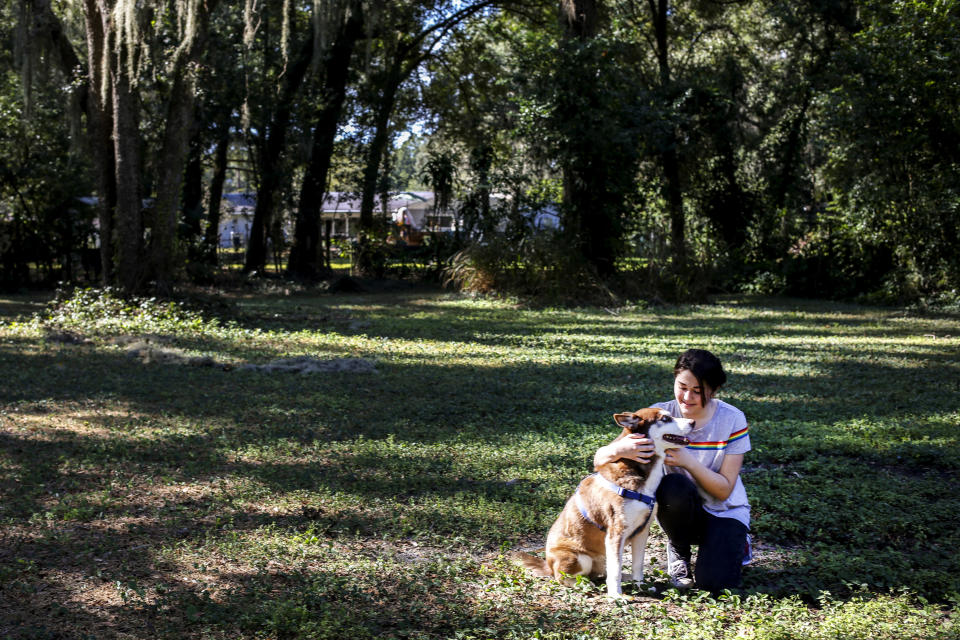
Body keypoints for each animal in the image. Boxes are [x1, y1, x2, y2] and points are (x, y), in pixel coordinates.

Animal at [512, 408, 692, 596]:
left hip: (602, 555)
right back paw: (582, 584)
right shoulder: (616, 532)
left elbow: (637, 565)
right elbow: (615, 569)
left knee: (603, 572)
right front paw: (616, 595)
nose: (693, 422)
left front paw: (640, 585)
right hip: (580, 558)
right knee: (563, 577)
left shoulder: (642, 531)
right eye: (665, 418)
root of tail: (547, 564)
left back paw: (624, 577)